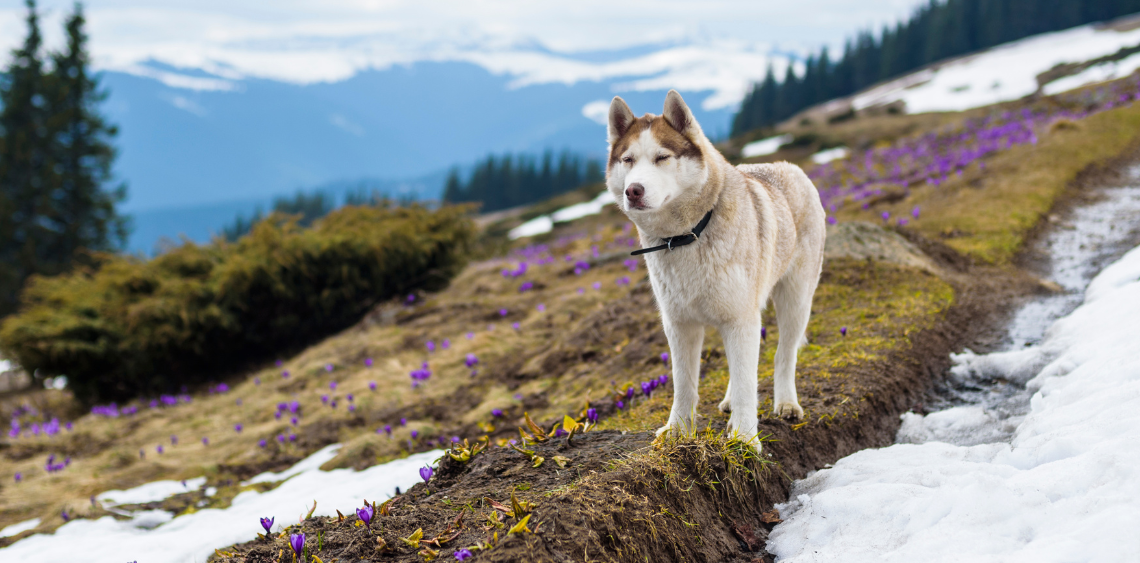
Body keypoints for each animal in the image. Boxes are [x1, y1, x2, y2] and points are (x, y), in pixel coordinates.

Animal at [606, 88, 829, 449]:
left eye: (662, 157)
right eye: (628, 160)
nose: (633, 190)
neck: (686, 236)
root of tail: (789, 167)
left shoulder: (740, 319)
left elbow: (746, 385)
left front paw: (746, 440)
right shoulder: (680, 325)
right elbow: (684, 385)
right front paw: (678, 431)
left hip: (795, 301)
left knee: (783, 355)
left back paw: (786, 404)